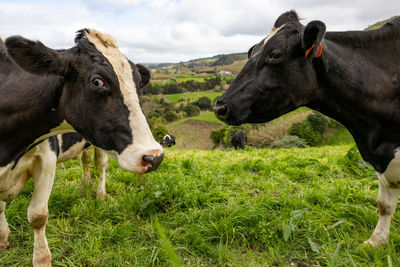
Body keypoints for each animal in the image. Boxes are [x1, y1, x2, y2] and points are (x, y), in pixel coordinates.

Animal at [0, 29, 162, 266]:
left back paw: (99, 194)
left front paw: (42, 260)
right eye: (97, 82)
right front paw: (3, 240)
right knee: (85, 161)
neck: (8, 150)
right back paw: (85, 184)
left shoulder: (47, 157)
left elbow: (38, 216)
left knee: (101, 165)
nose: (154, 156)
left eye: (138, 83)